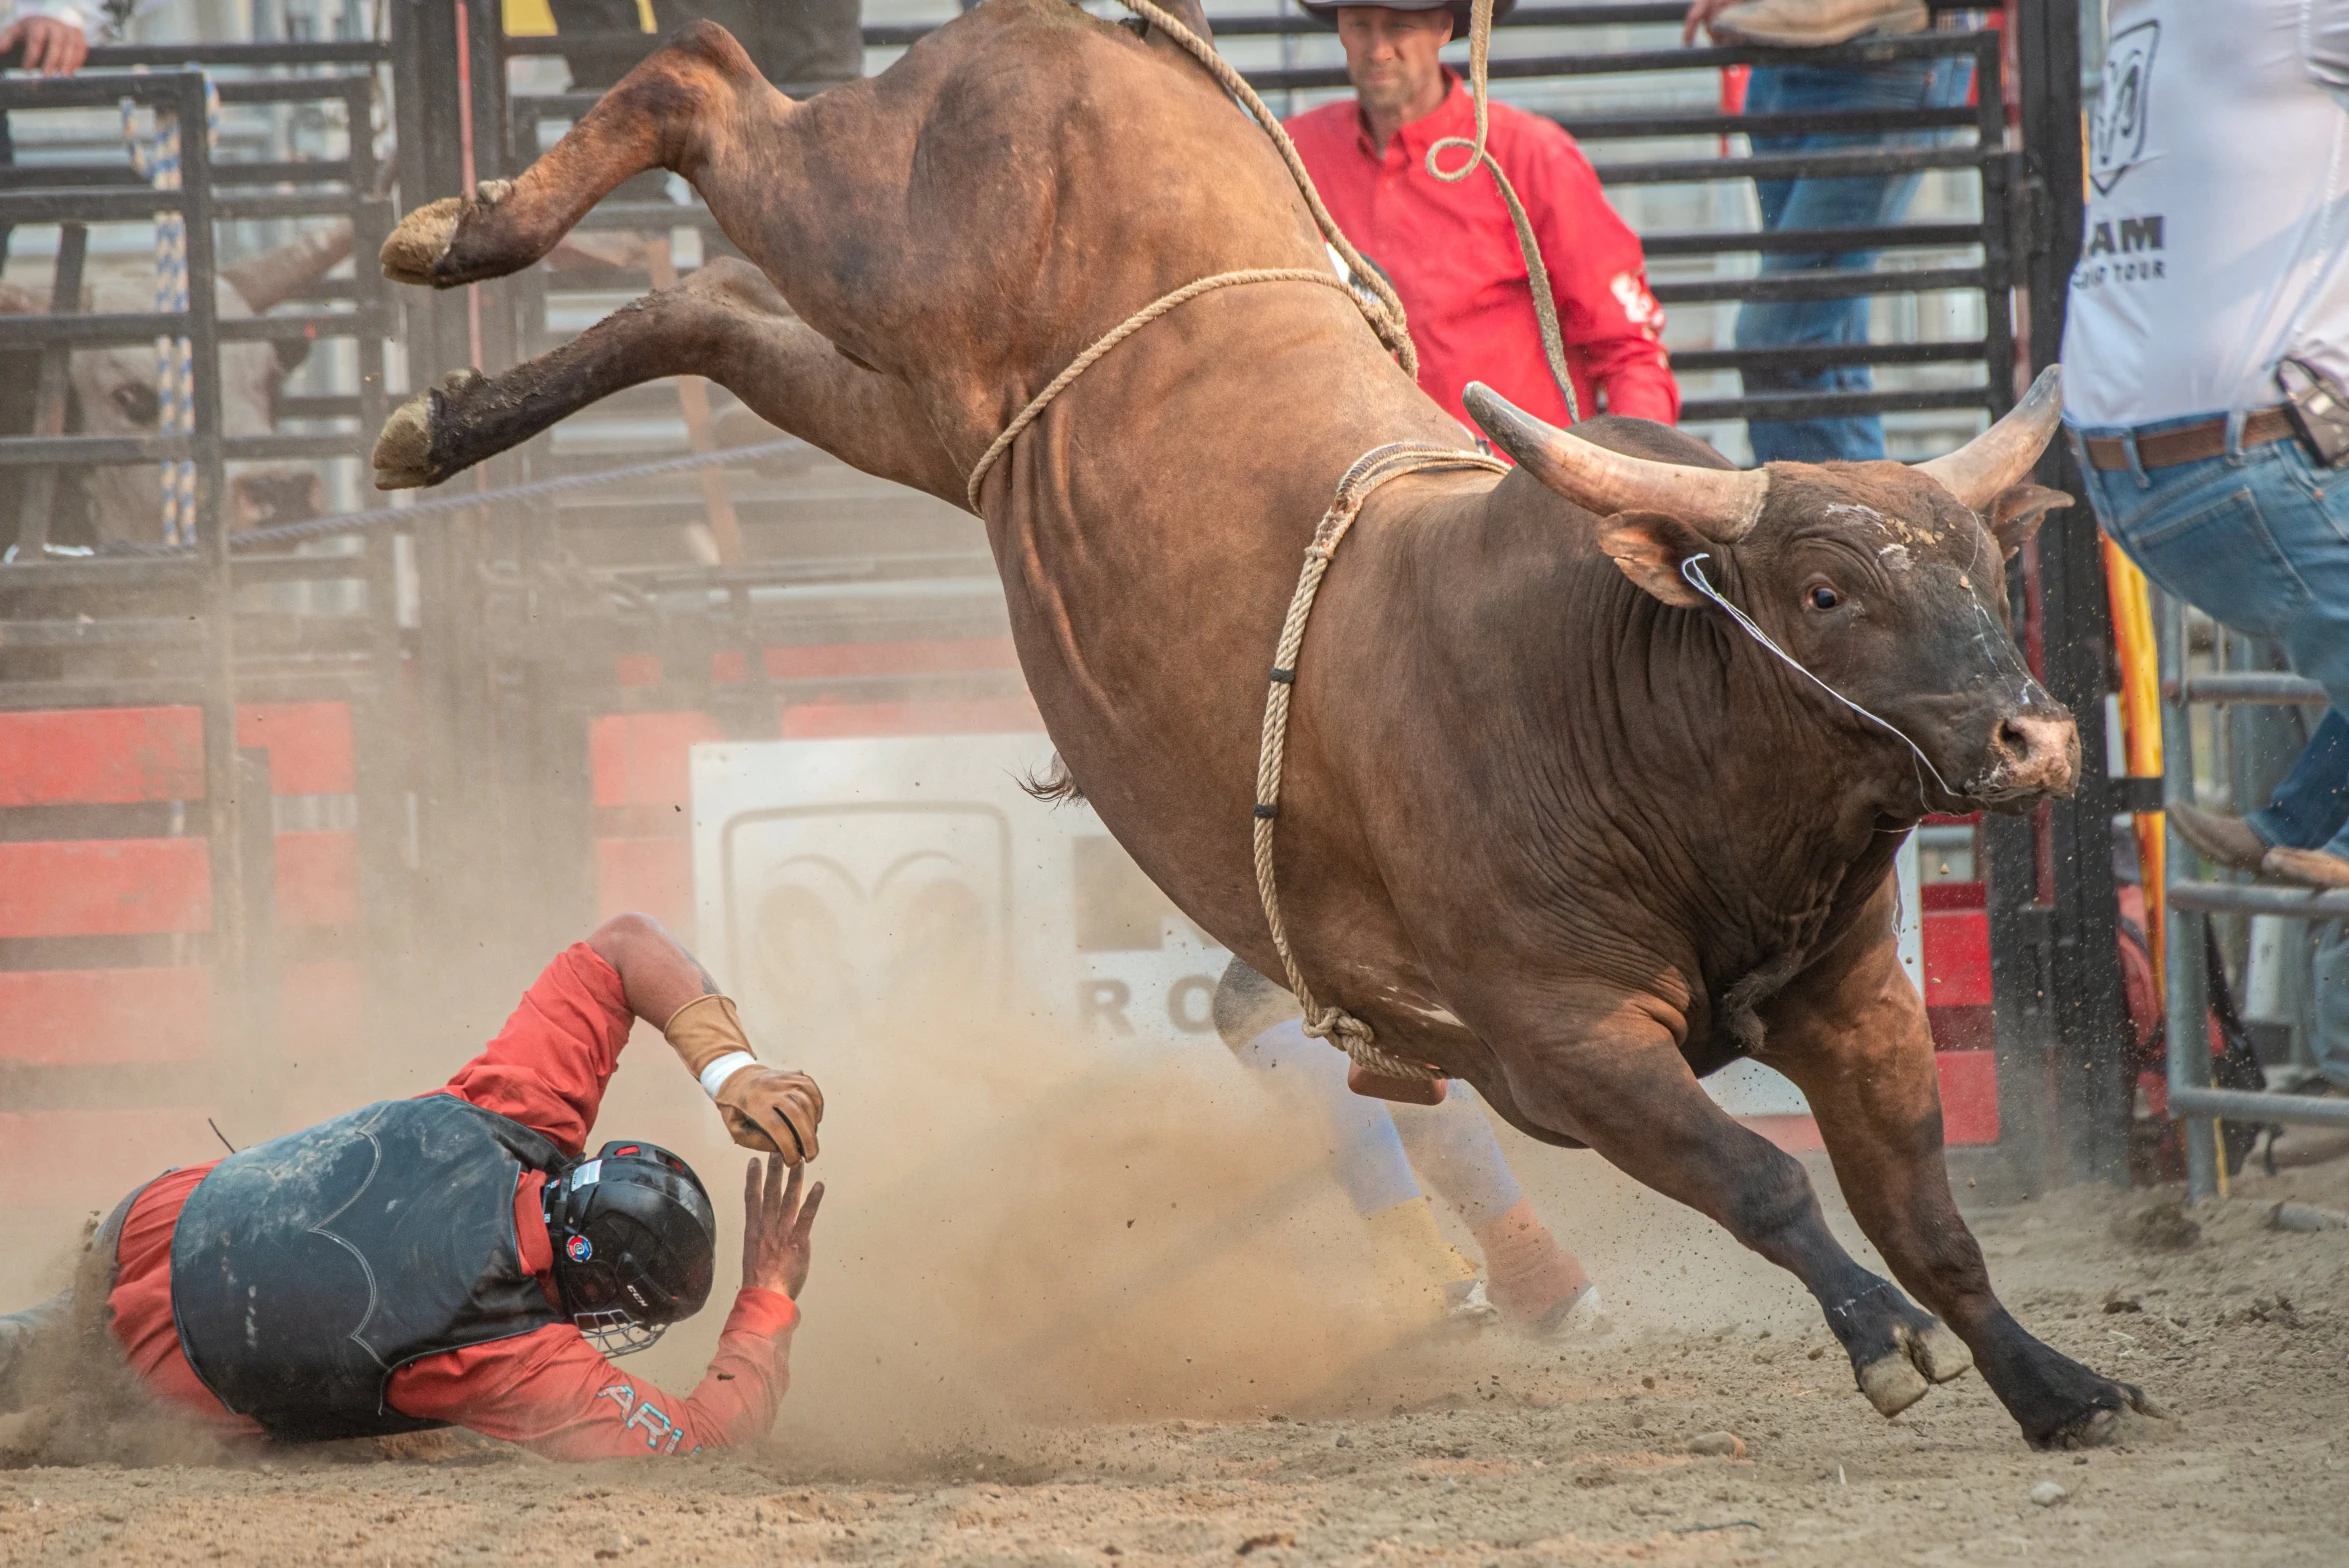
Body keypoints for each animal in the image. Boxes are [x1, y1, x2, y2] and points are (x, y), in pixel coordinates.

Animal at [375, 0, 2151, 1445]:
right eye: (1828, 589)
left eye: (1989, 565)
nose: (2036, 742)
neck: (1629, 706)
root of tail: (1075, 35)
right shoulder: (1560, 1039)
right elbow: (1763, 1177)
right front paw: (1886, 1342)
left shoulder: (1856, 1000)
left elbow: (1930, 1215)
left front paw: (2049, 1378)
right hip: (878, 238)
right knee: (700, 85)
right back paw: (461, 235)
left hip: (928, 415)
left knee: (712, 303)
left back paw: (443, 416)